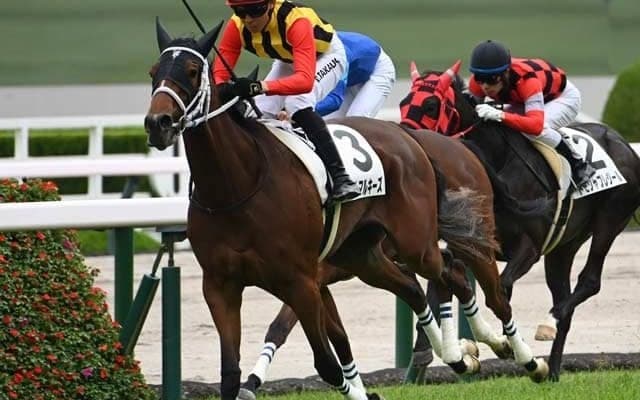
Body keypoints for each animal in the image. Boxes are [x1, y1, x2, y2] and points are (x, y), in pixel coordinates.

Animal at [145, 19, 527, 399]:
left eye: (193, 71)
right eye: (153, 72)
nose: (157, 123)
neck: (236, 185)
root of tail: (410, 139)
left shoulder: (301, 282)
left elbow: (326, 361)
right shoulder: (220, 285)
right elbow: (232, 371)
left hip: (415, 245)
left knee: (453, 271)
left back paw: (514, 354)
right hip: (363, 254)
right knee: (417, 287)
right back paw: (464, 355)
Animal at [400, 60, 640, 381]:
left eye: (430, 104)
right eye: (403, 103)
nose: (403, 141)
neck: (495, 163)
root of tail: (625, 145)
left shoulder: (528, 249)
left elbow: (500, 289)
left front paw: (502, 343)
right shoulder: (467, 245)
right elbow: (439, 286)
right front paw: (436, 350)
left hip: (609, 221)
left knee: (589, 281)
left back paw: (547, 326)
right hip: (564, 246)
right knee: (564, 296)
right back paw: (552, 370)